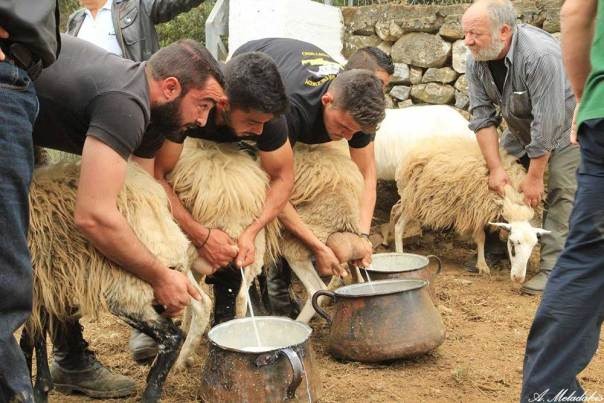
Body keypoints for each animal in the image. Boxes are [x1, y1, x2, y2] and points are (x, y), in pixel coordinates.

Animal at [23, 162, 210, 403]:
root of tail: (154, 196)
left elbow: (30, 339)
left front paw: (35, 390)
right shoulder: (43, 283)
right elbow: (31, 337)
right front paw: (38, 388)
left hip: (130, 283)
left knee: (172, 336)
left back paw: (151, 392)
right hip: (172, 265)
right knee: (202, 302)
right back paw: (180, 361)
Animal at [394, 137, 548, 286]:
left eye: (533, 246)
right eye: (513, 244)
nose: (518, 278)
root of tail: (413, 153)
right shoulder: (475, 210)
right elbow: (481, 238)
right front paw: (482, 265)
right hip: (413, 199)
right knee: (398, 226)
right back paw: (401, 255)